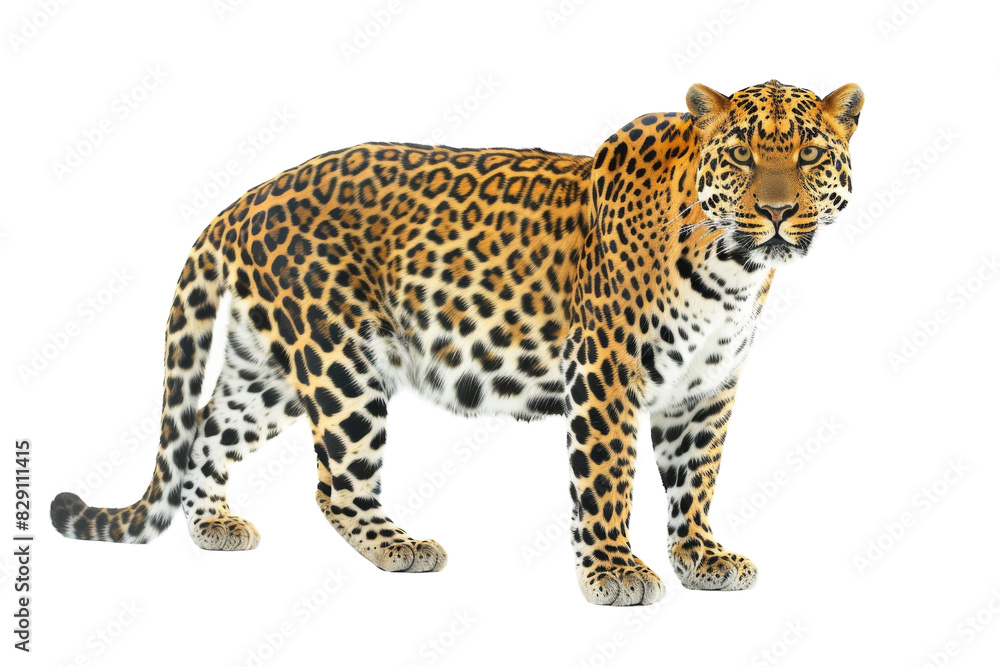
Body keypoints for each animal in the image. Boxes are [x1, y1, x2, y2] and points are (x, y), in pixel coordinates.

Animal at [51, 80, 863, 606]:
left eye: (810, 155)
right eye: (742, 156)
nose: (778, 212)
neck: (734, 269)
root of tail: (246, 199)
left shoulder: (706, 387)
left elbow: (697, 479)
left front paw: (702, 556)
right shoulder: (605, 373)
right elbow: (607, 479)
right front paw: (613, 572)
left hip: (271, 366)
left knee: (208, 432)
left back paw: (214, 524)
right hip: (343, 362)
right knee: (334, 484)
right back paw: (402, 548)